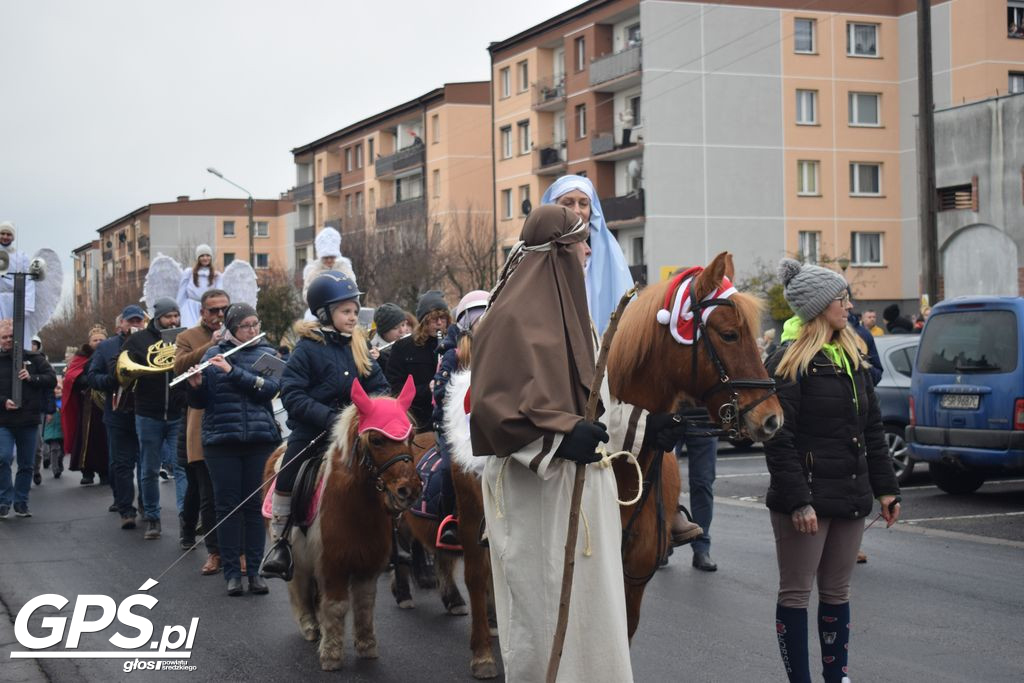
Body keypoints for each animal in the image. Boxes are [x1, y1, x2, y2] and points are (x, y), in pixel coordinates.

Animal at [268, 376, 423, 671]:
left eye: (409, 438)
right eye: (376, 439)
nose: (409, 490)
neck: (356, 508)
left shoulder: (367, 565)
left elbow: (364, 605)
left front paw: (367, 646)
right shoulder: (333, 564)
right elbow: (337, 606)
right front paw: (331, 655)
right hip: (297, 556)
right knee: (299, 587)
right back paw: (310, 626)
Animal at [393, 252, 782, 679]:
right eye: (729, 334)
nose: (771, 418)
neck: (627, 472)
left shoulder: (635, 572)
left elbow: (625, 631)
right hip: (470, 515)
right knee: (477, 575)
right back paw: (482, 649)